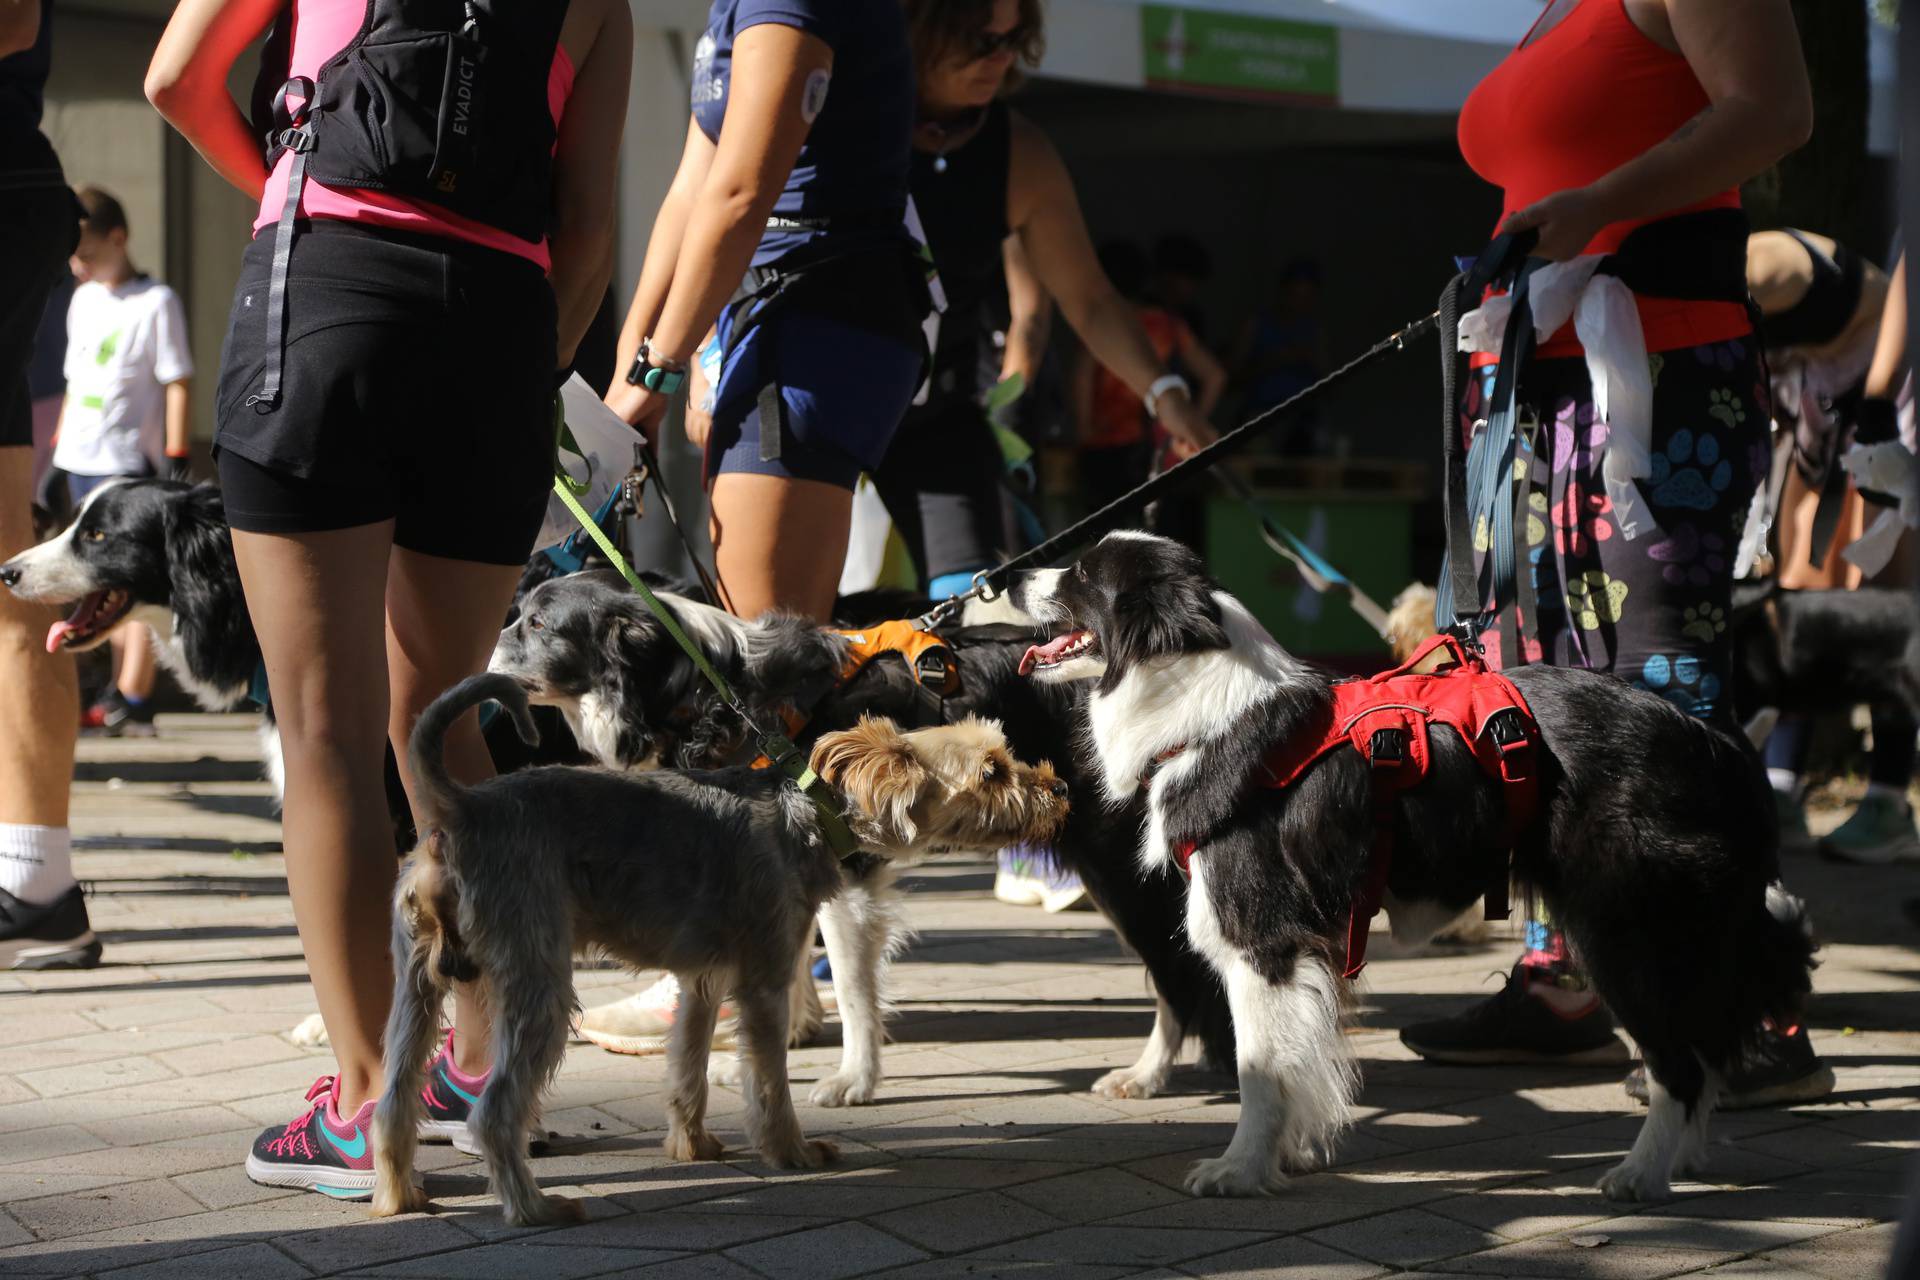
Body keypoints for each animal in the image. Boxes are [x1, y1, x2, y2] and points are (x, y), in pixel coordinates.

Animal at [370, 675, 1067, 1228]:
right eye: (993, 771)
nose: (1059, 789)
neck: (813, 810)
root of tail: (462, 809)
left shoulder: (702, 981)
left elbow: (689, 1069)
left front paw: (694, 1146)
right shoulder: (763, 983)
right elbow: (770, 1082)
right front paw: (793, 1154)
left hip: (415, 986)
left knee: (395, 1099)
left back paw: (399, 1198)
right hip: (538, 979)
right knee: (494, 1113)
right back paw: (535, 1208)